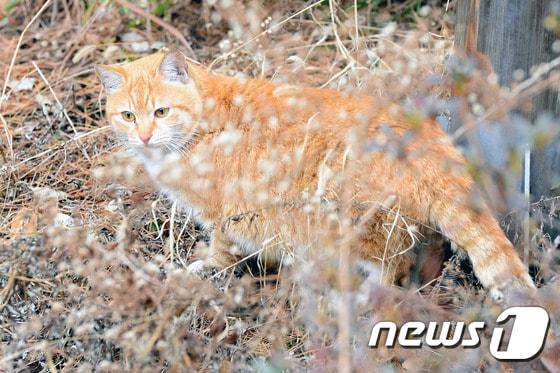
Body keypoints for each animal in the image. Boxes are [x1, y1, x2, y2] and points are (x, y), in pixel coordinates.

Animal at [96, 50, 532, 298]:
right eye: (128, 116)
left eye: (161, 112)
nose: (144, 136)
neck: (202, 122)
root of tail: (431, 140)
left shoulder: (223, 215)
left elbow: (221, 251)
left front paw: (207, 270)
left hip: (353, 223)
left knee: (392, 266)